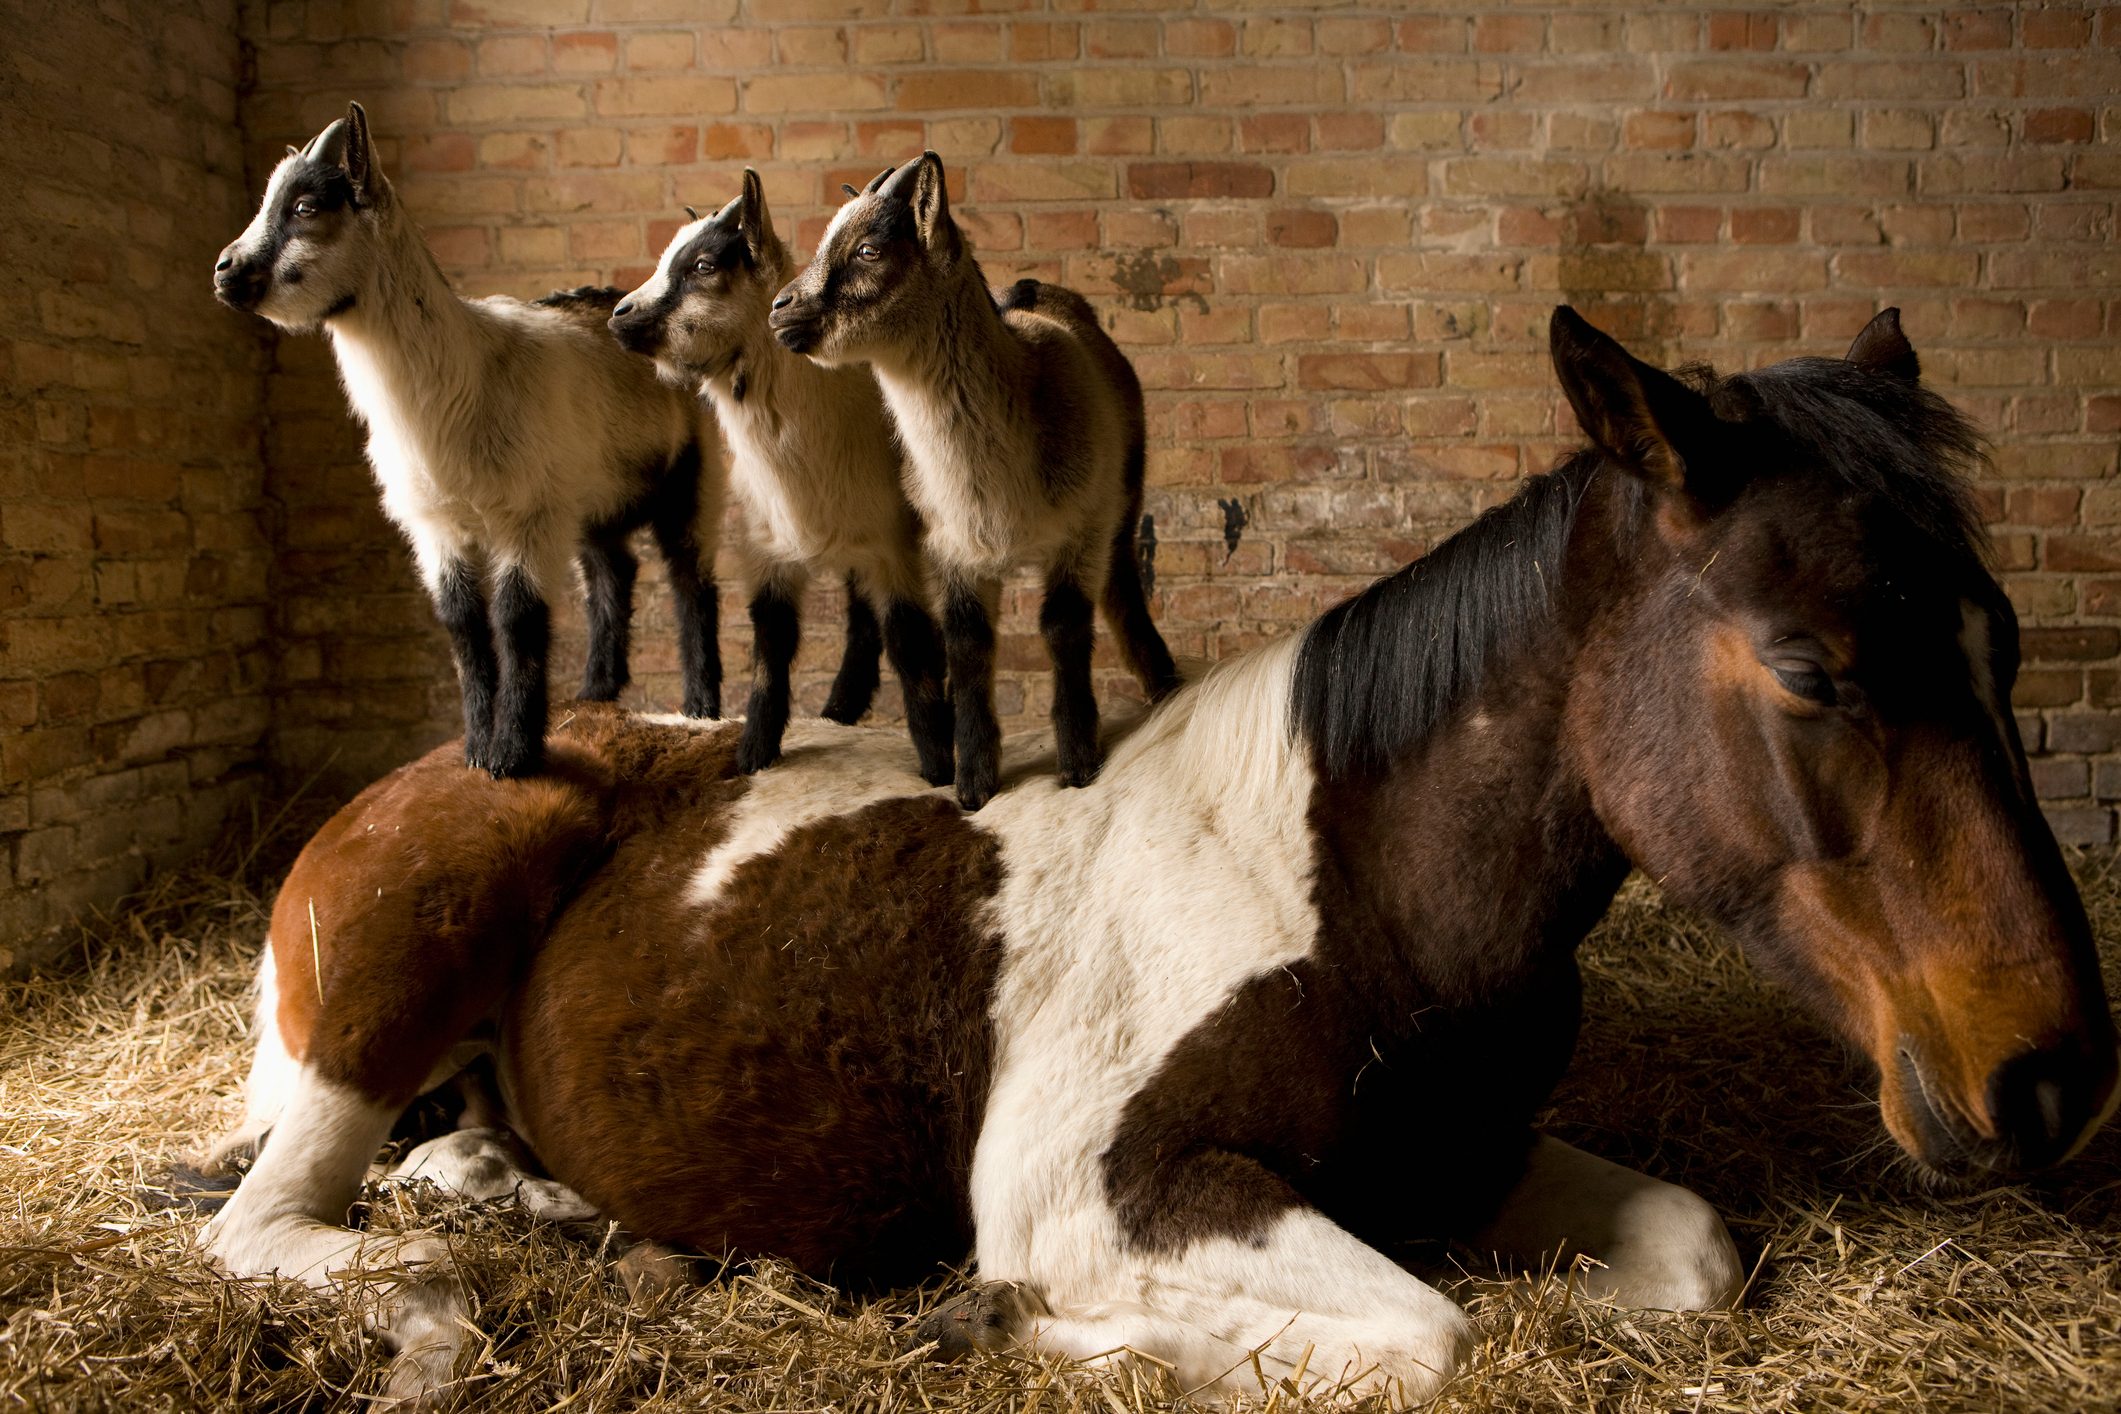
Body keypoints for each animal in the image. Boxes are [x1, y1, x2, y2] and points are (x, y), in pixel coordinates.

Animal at [195, 307, 2118, 1405]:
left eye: (2004, 642)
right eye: (1810, 669)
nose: (2050, 1074)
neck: (1352, 891)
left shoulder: (1467, 1155)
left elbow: (1692, 1259)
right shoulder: (1098, 1191)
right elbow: (1432, 1336)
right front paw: (994, 1324)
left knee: (458, 1161)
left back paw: (569, 1214)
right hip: (380, 993)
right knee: (270, 1219)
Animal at [212, 101, 725, 779]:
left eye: (304, 206)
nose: (224, 270)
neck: (460, 382)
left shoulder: (526, 516)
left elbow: (517, 620)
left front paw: (513, 755)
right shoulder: (436, 525)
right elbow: (462, 624)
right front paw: (478, 750)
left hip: (692, 475)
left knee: (692, 579)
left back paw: (700, 708)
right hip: (588, 492)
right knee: (612, 572)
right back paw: (595, 694)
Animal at [610, 172, 953, 784]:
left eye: (704, 265)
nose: (619, 314)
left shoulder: (896, 547)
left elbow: (911, 646)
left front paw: (939, 766)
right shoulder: (765, 550)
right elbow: (771, 649)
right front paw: (754, 754)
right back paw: (840, 708)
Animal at [769, 153, 1180, 810]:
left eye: (868, 250)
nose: (779, 309)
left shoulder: (1083, 531)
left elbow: (1064, 628)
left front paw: (1078, 766)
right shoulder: (951, 548)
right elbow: (966, 646)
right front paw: (974, 784)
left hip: (1124, 495)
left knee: (1122, 589)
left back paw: (1163, 684)